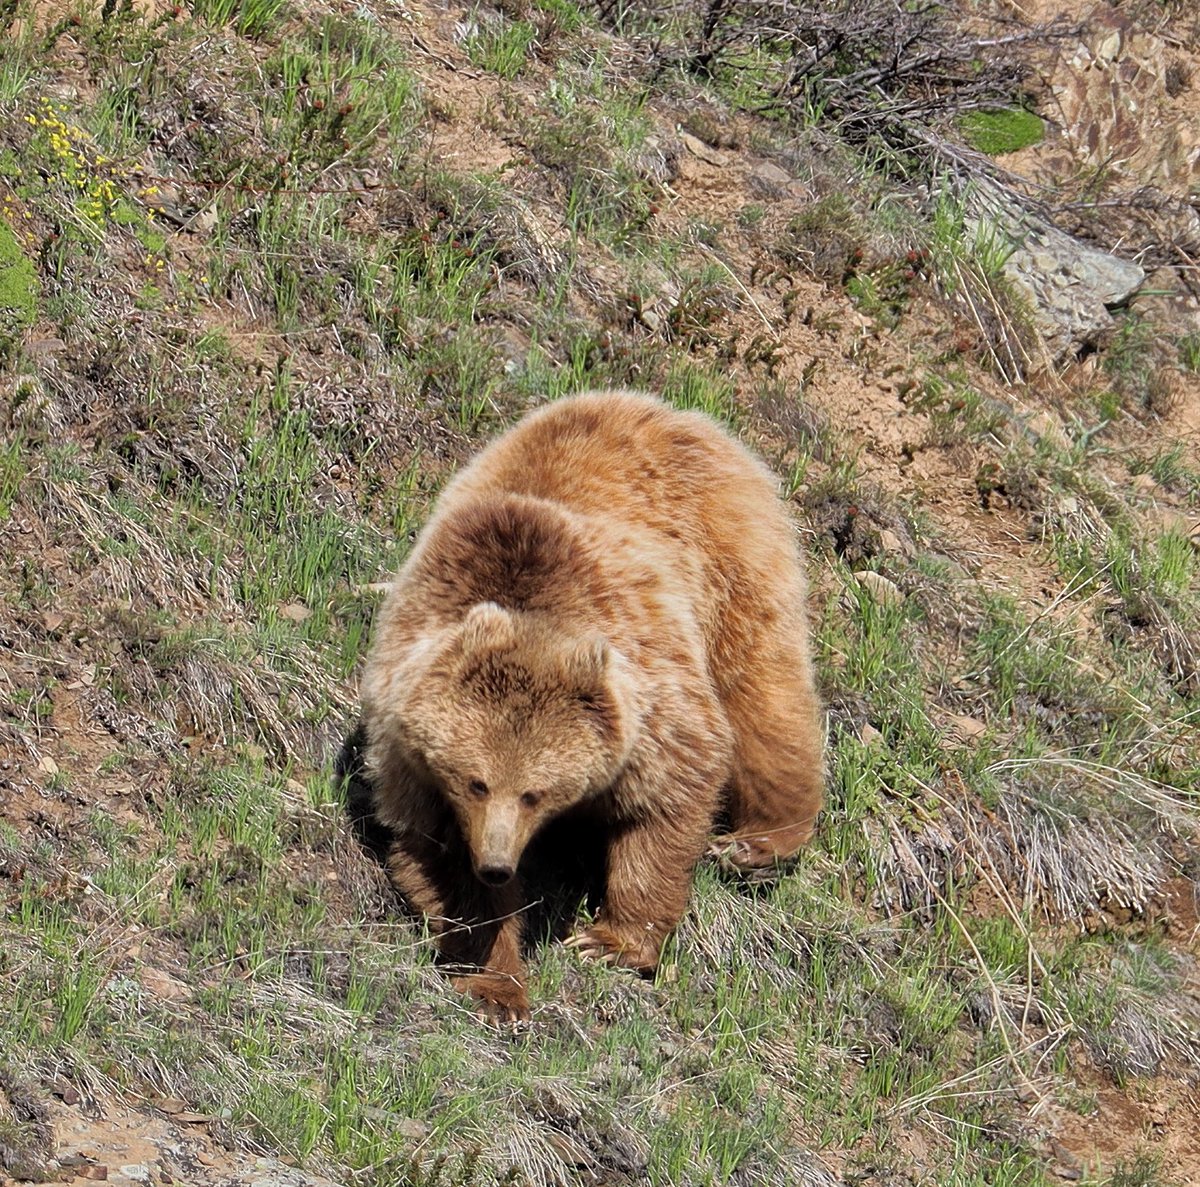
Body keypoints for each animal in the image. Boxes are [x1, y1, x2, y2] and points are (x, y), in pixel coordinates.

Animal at [359, 389, 824, 1021]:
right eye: (477, 782)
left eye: (534, 793)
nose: (498, 864)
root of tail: (673, 411)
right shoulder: (412, 754)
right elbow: (442, 860)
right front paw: (498, 986)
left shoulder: (644, 692)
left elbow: (670, 792)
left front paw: (609, 942)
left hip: (730, 563)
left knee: (761, 697)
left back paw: (756, 842)